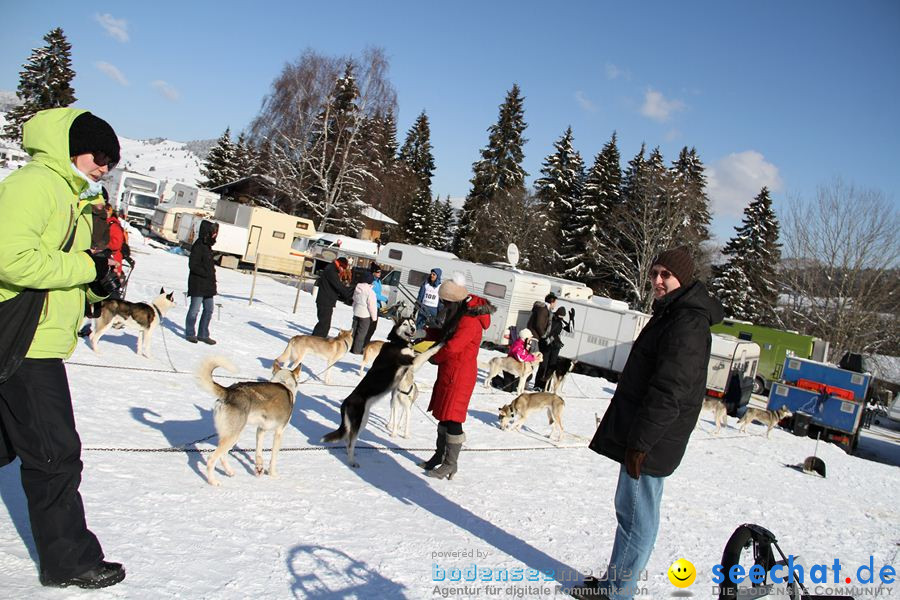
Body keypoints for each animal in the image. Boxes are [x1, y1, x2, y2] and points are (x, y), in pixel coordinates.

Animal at [198, 358, 302, 486]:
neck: (284, 383)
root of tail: (229, 391)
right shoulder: (279, 432)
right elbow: (273, 457)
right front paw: (273, 474)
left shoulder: (261, 429)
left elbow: (258, 452)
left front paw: (259, 468)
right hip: (234, 435)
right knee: (211, 459)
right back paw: (213, 481)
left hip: (231, 435)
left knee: (222, 456)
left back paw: (230, 472)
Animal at [324, 318, 442, 468]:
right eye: (405, 324)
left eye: (413, 323)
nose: (413, 329)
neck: (398, 342)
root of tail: (346, 402)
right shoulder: (412, 362)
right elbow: (429, 352)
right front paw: (441, 343)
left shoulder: (412, 365)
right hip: (358, 422)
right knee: (350, 442)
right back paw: (352, 462)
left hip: (362, 421)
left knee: (348, 440)